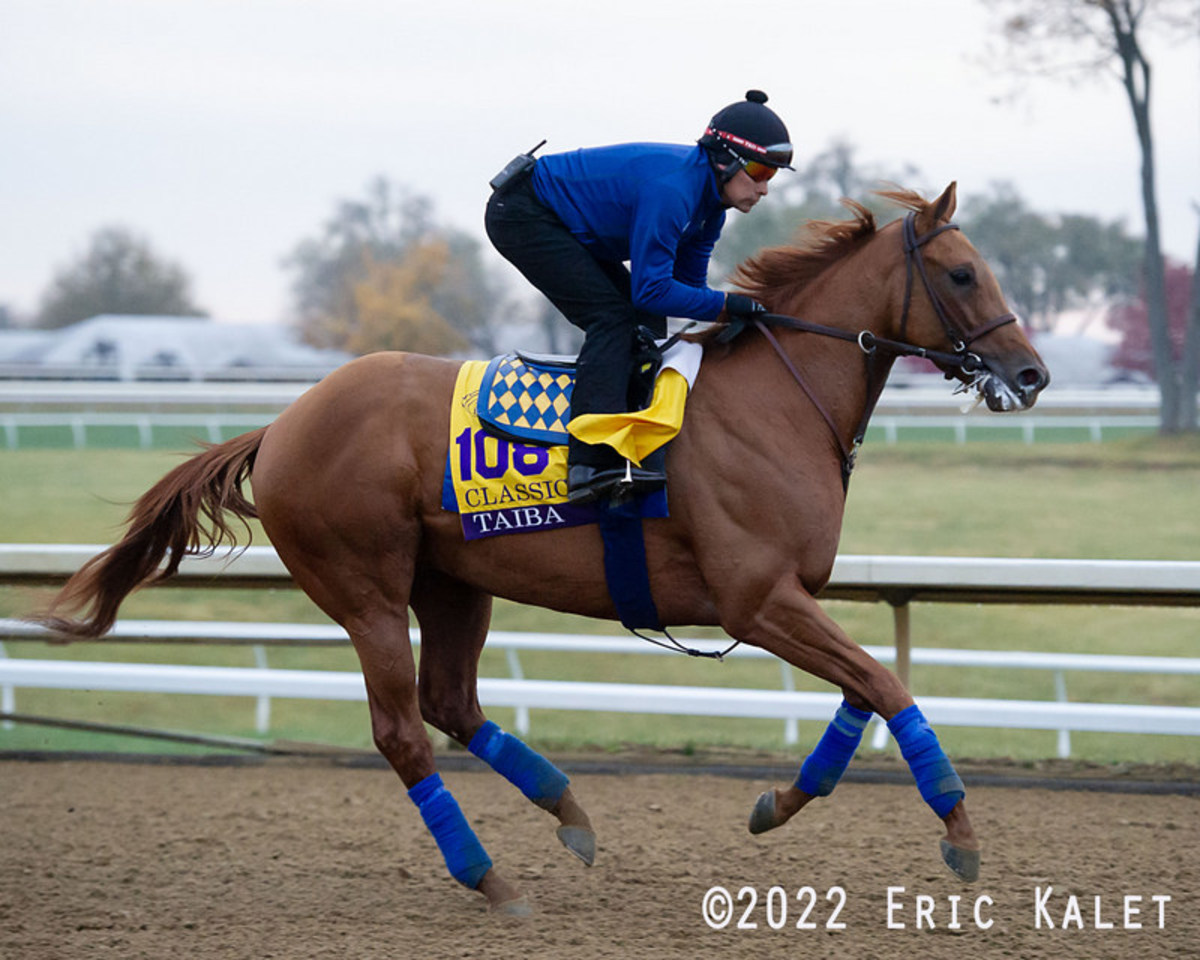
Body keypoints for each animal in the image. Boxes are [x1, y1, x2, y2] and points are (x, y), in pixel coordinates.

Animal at [35, 186, 1051, 916]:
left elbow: (861, 693)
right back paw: (490, 878)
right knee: (402, 731)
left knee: (451, 702)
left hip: (453, 582)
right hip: (365, 589)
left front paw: (775, 805)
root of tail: (281, 424)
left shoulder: (790, 597)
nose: (1032, 373)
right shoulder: (757, 597)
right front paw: (961, 833)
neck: (776, 400)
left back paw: (568, 813)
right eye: (963, 274)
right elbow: (889, 686)